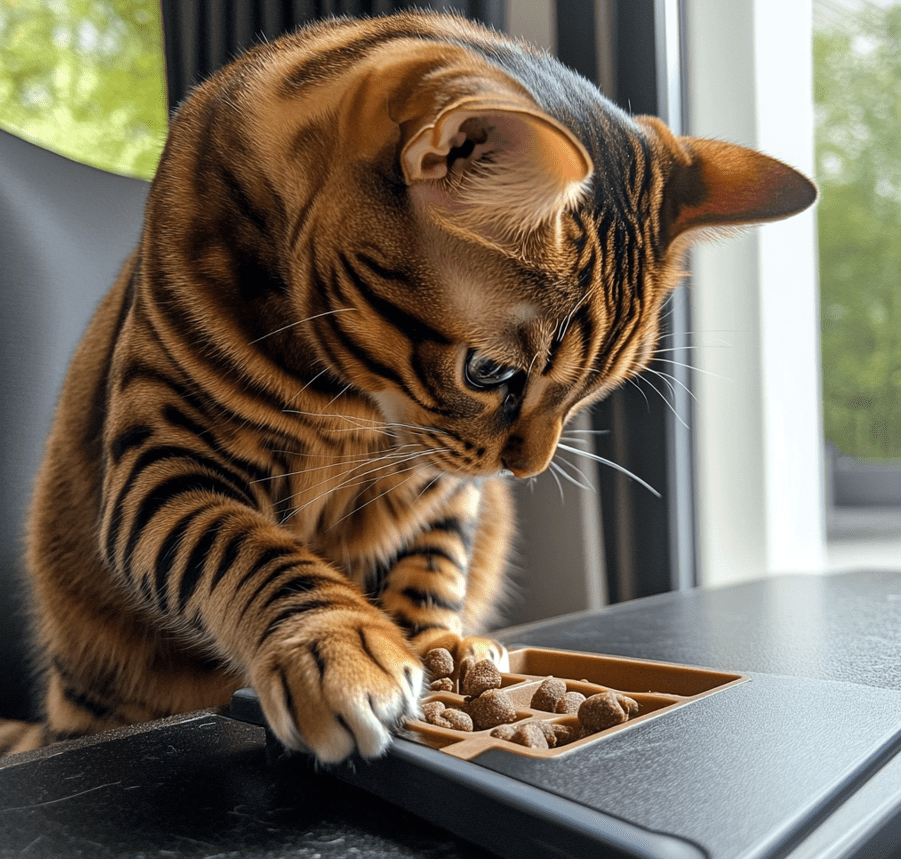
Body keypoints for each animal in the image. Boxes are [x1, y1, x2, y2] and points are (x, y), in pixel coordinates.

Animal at [0, 6, 816, 760]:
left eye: (589, 392)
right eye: (490, 371)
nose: (524, 470)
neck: (348, 402)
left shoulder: (443, 486)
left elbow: (432, 565)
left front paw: (435, 645)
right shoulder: (163, 464)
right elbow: (248, 547)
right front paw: (338, 644)